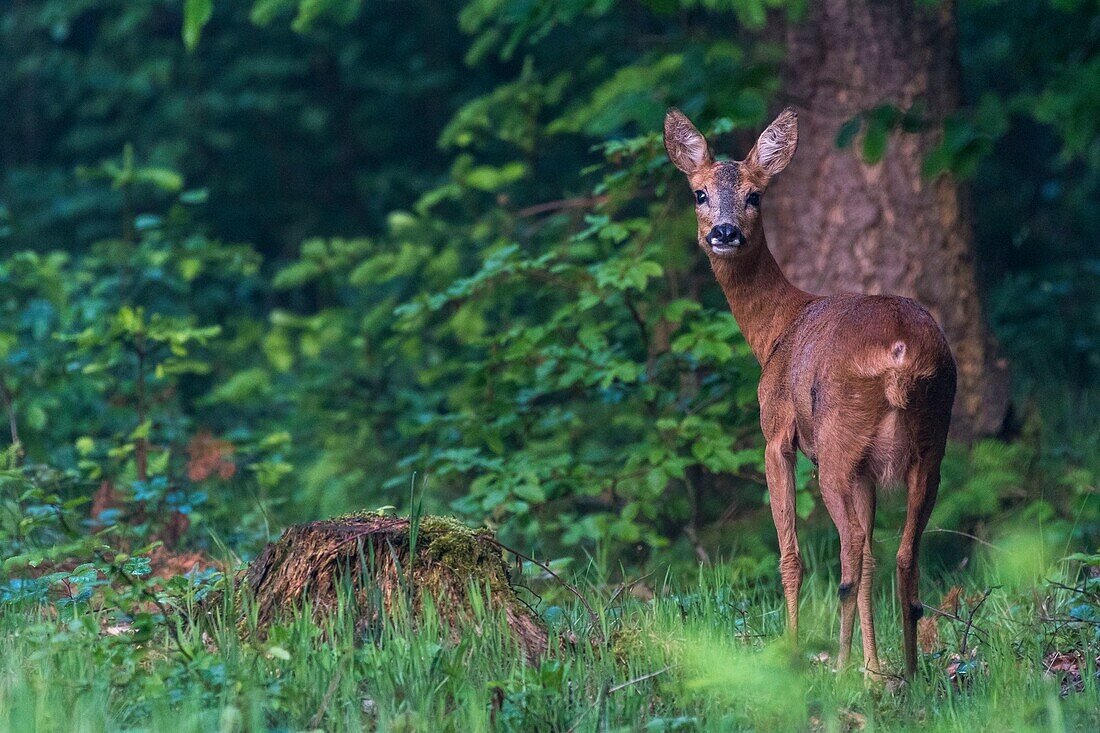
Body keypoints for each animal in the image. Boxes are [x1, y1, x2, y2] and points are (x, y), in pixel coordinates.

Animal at [664, 108, 959, 673]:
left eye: (756, 195)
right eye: (699, 193)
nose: (725, 232)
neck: (776, 330)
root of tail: (901, 354)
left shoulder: (776, 433)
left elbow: (791, 555)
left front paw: (794, 651)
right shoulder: (870, 468)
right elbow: (871, 556)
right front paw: (876, 668)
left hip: (838, 441)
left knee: (849, 554)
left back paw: (842, 669)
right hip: (931, 442)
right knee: (901, 553)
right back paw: (908, 673)